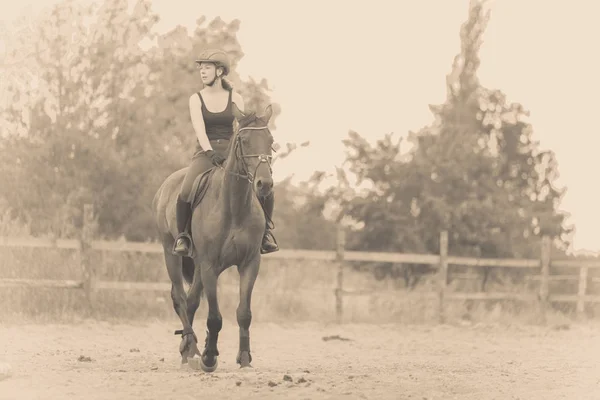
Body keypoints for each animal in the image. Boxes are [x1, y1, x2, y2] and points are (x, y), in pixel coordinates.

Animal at [154, 103, 278, 372]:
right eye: (243, 141)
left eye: (270, 140)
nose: (264, 184)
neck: (234, 206)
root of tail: (166, 185)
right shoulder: (210, 265)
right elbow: (214, 317)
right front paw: (209, 357)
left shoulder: (249, 264)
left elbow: (244, 313)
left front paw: (244, 358)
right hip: (171, 253)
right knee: (180, 297)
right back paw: (191, 349)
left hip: (198, 264)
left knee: (191, 300)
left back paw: (189, 350)